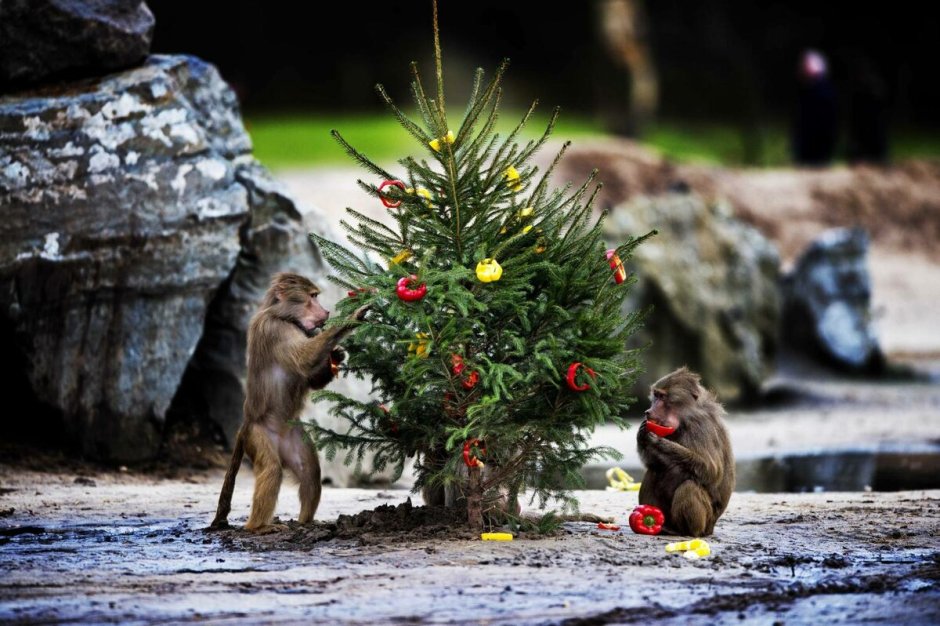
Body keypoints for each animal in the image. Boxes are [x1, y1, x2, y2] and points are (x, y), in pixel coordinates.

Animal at [211, 270, 370, 528]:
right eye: (312, 297)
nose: (326, 312)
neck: (282, 316)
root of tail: (245, 424)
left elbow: (310, 376)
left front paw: (337, 355)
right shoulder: (276, 330)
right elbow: (305, 359)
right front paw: (353, 317)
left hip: (294, 438)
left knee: (310, 472)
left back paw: (305, 522)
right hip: (257, 436)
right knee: (272, 470)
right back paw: (259, 528)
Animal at [640, 366, 736, 536]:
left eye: (662, 397)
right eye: (655, 395)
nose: (648, 412)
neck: (685, 419)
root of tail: (711, 528)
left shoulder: (700, 426)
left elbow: (711, 470)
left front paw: (658, 441)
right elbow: (653, 462)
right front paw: (641, 435)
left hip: (706, 520)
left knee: (689, 486)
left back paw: (684, 532)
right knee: (653, 471)